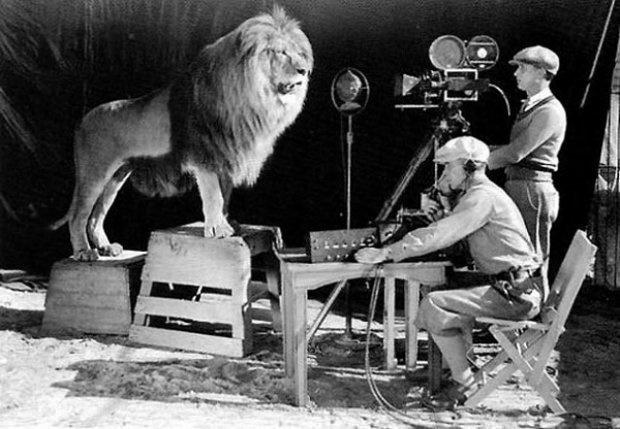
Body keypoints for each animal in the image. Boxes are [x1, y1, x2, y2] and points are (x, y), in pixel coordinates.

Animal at [50, 7, 312, 260]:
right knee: (79, 215)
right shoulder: (204, 154)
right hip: (94, 173)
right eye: (280, 52)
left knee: (96, 216)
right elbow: (214, 194)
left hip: (116, 176)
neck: (247, 95)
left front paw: (229, 223)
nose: (305, 70)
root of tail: (82, 121)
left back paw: (106, 248)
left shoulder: (225, 154)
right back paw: (84, 253)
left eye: (299, 53)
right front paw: (219, 229)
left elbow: (225, 194)